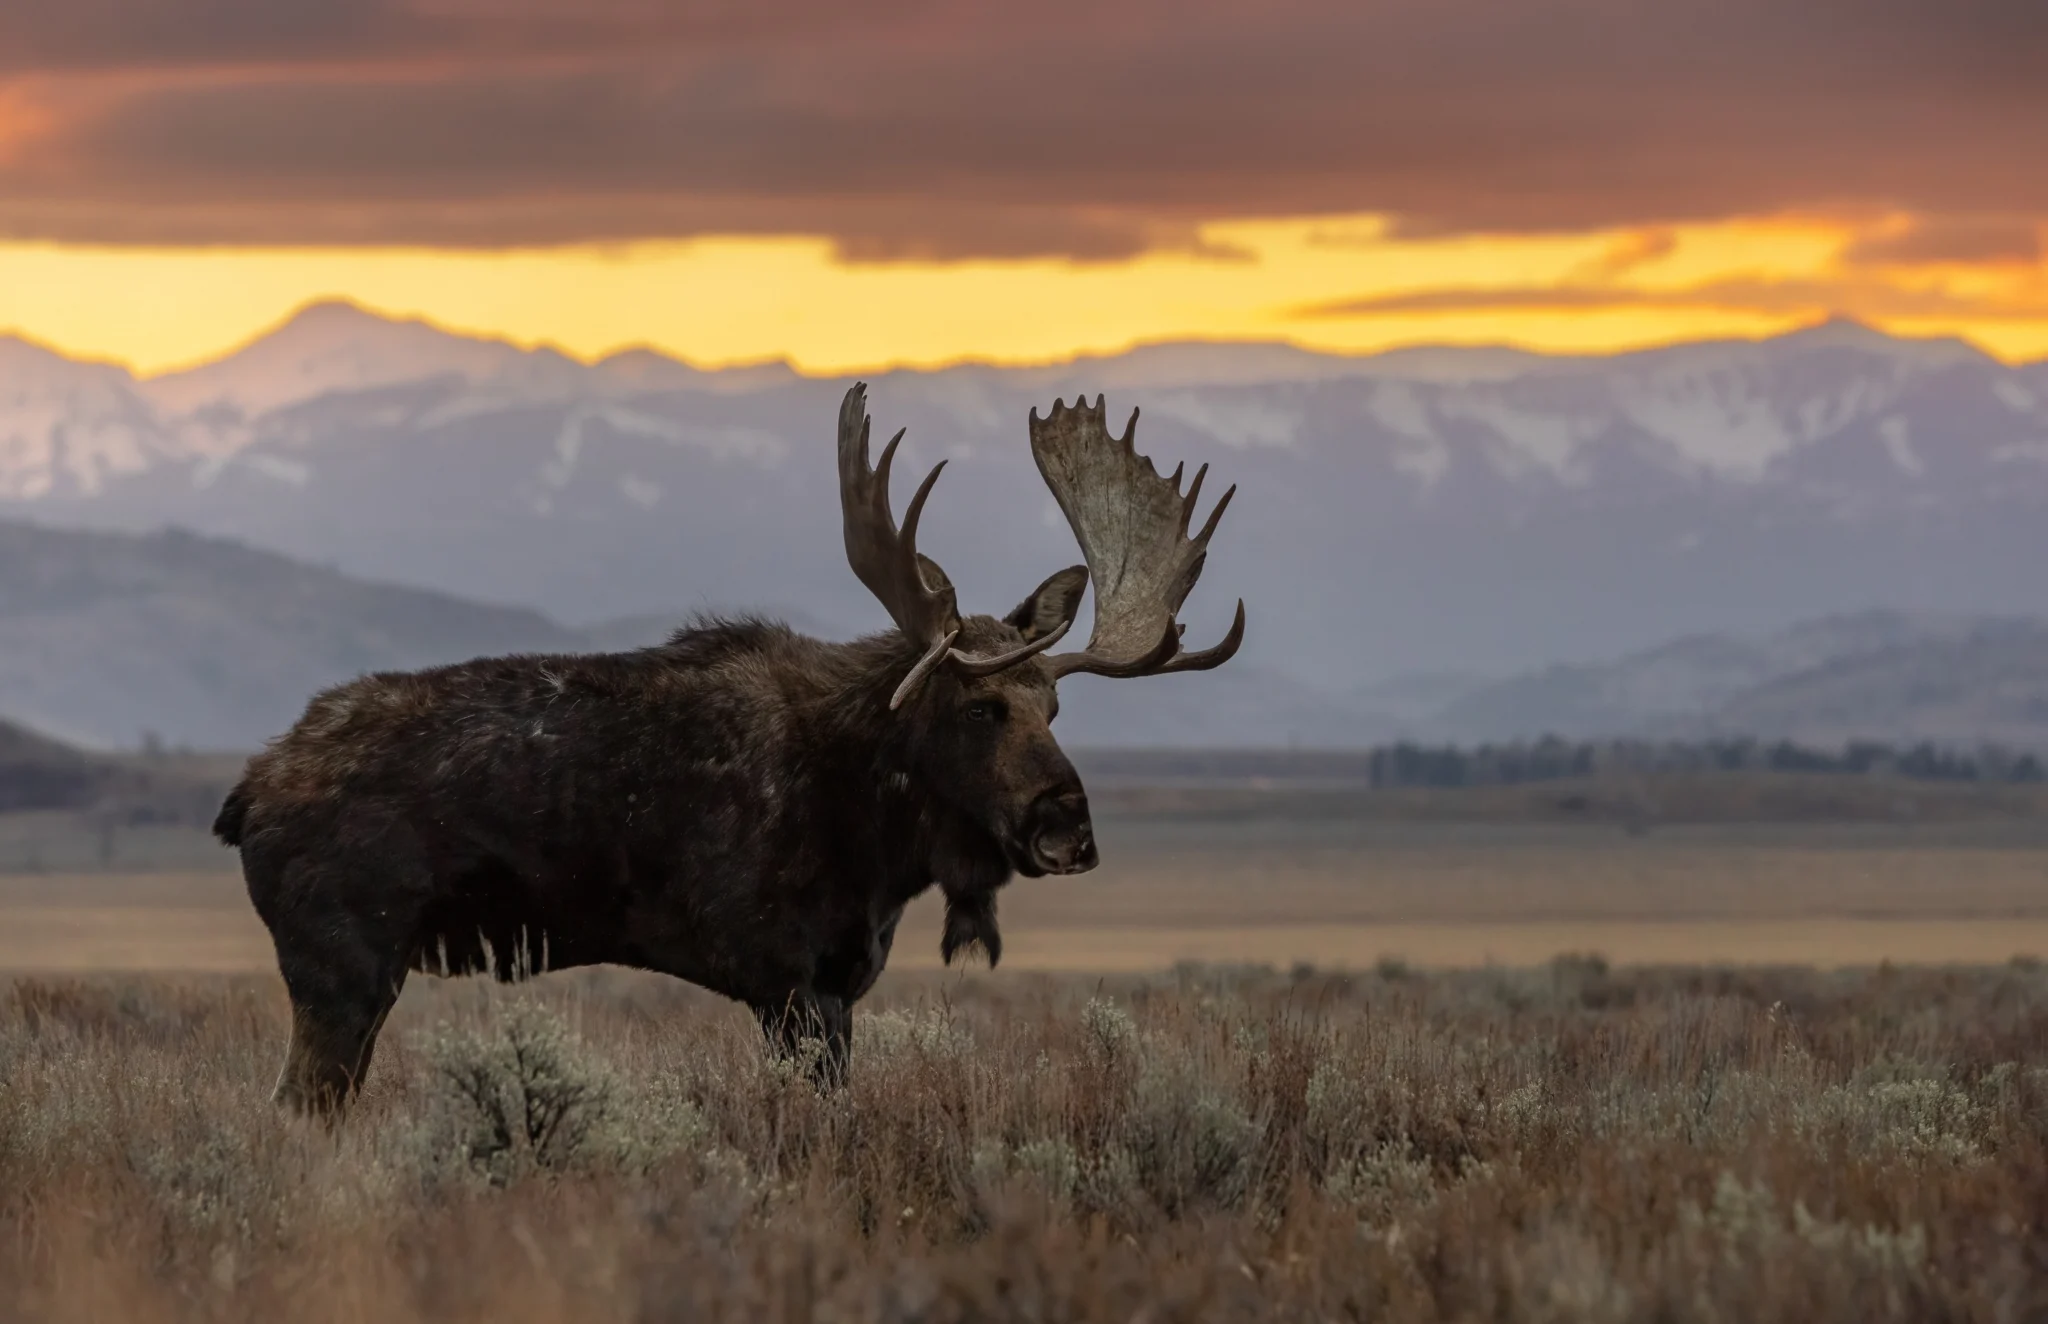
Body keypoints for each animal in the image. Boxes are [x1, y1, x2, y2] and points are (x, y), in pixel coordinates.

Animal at [212, 384, 1244, 1118]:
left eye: (1056, 705)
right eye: (979, 705)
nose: (1069, 830)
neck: (883, 835)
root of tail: (247, 792)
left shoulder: (837, 987)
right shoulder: (785, 981)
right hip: (342, 967)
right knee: (298, 1110)